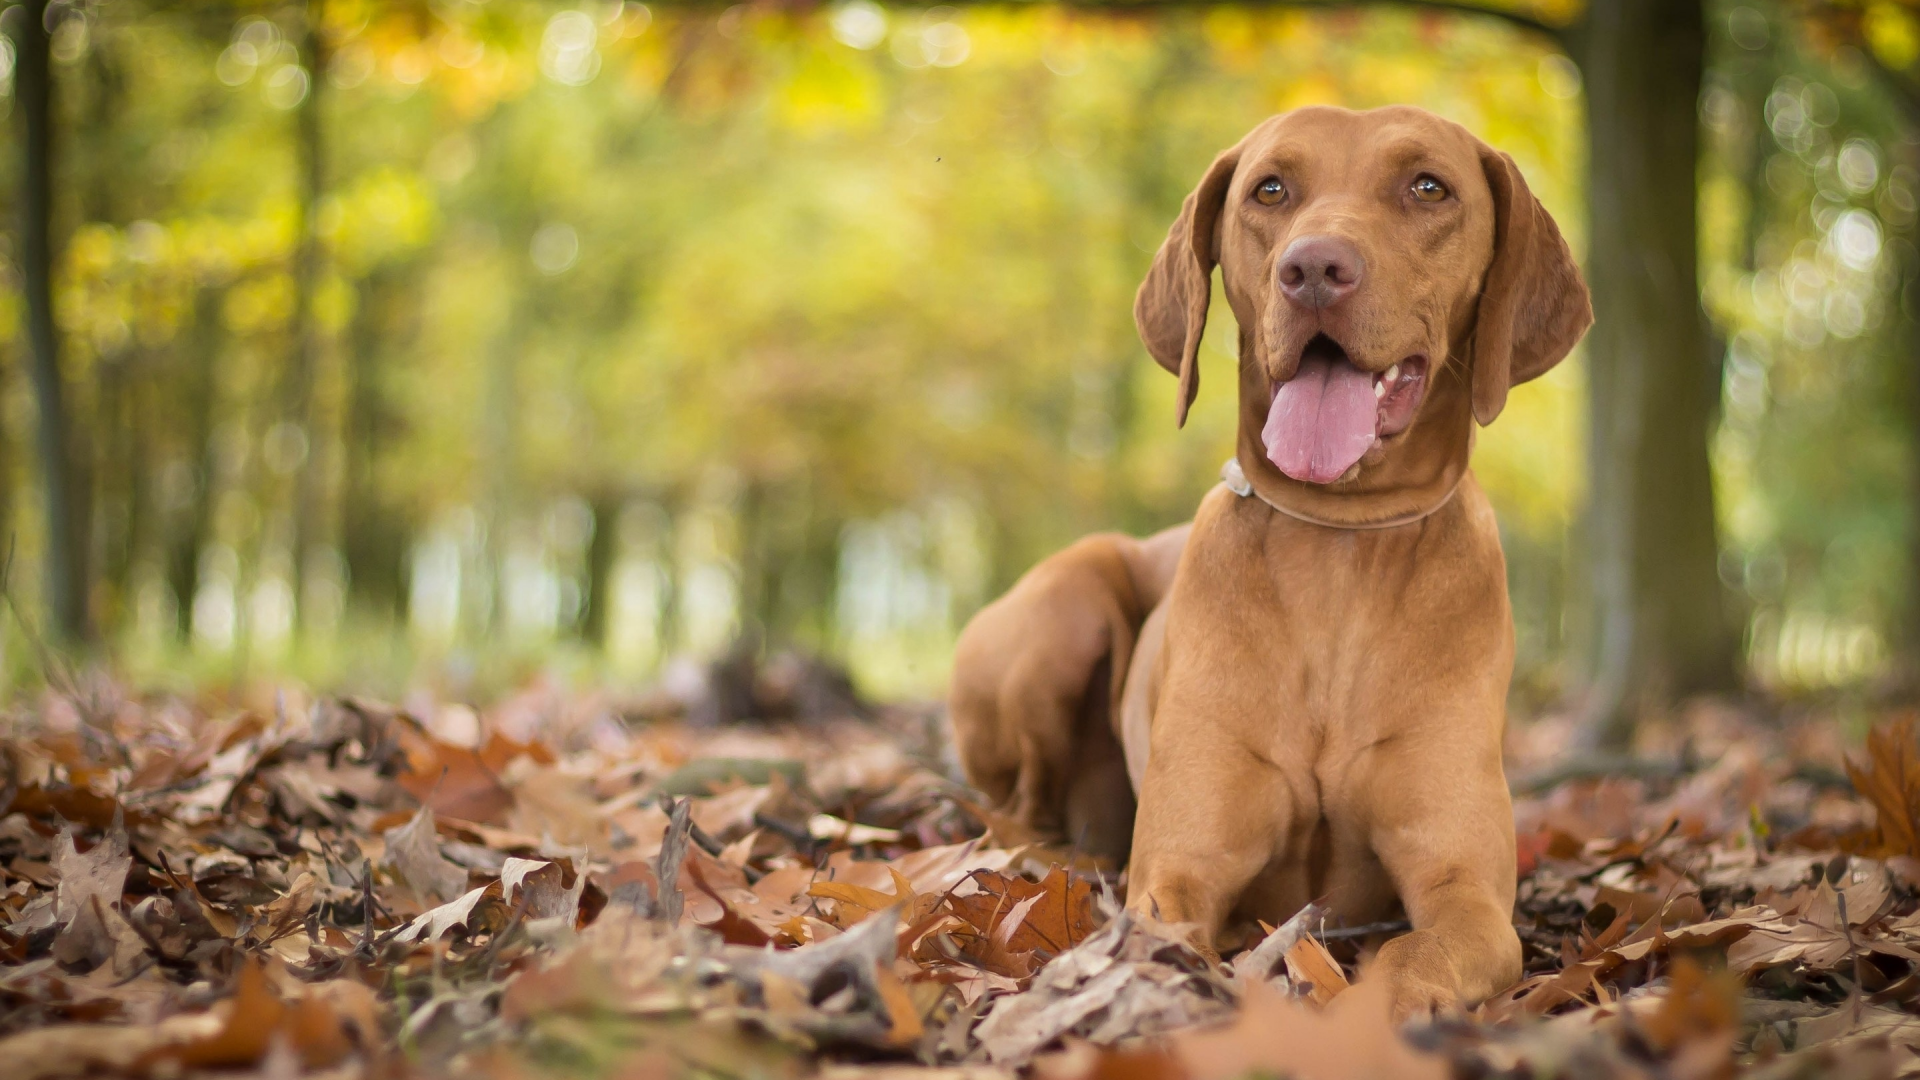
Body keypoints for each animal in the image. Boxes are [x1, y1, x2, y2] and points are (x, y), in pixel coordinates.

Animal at [944, 102, 1589, 1014]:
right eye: (1270, 189)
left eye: (1429, 187)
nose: (1314, 267)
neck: (1339, 544)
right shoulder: (1179, 868)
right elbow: (1167, 928)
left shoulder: (1468, 890)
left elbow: (1420, 949)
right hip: (1063, 610)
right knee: (1020, 807)